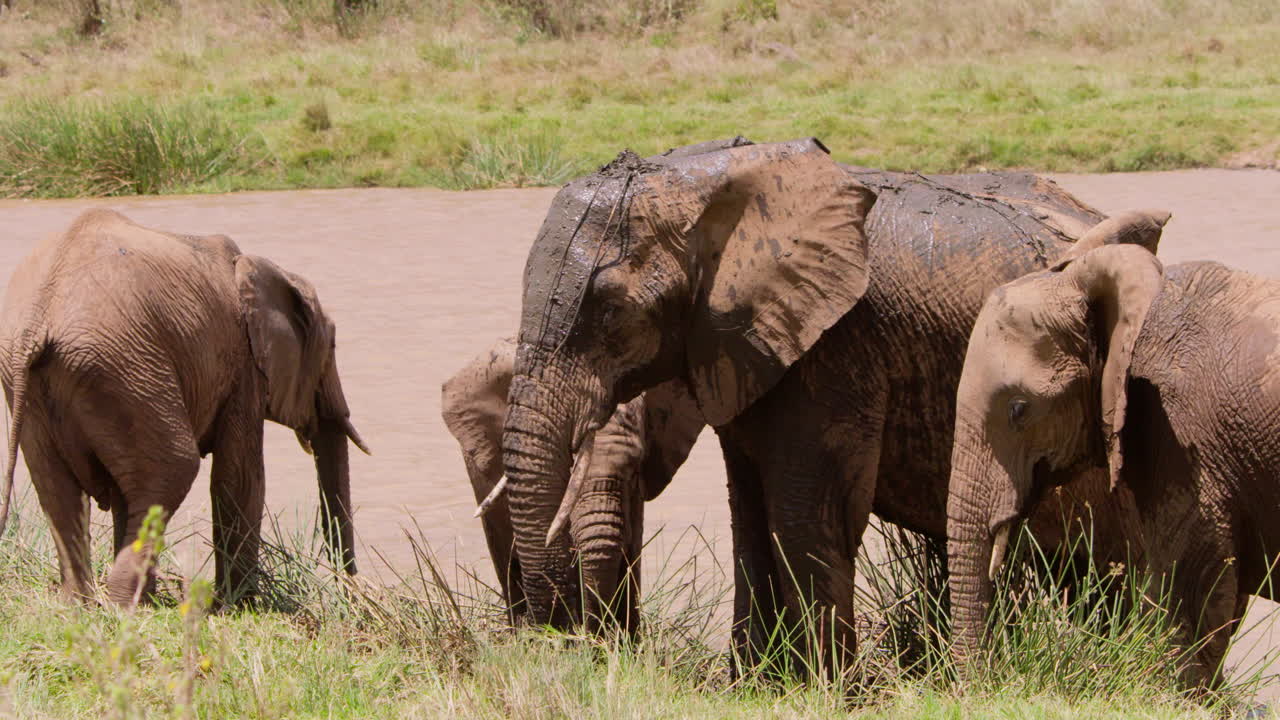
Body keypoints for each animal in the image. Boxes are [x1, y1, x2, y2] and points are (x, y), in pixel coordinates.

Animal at [0, 208, 368, 605]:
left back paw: (86, 605)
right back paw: (123, 606)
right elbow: (239, 478)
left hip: (55, 381)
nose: (351, 593)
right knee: (175, 467)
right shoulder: (243, 365)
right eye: (333, 345)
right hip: (121, 367)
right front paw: (239, 607)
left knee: (57, 490)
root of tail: (38, 318)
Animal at [498, 135, 1165, 668]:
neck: (721, 176)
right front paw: (756, 687)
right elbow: (750, 517)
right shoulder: (740, 344)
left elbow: (805, 512)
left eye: (611, 310)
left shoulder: (840, 342)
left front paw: (827, 691)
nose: (560, 639)